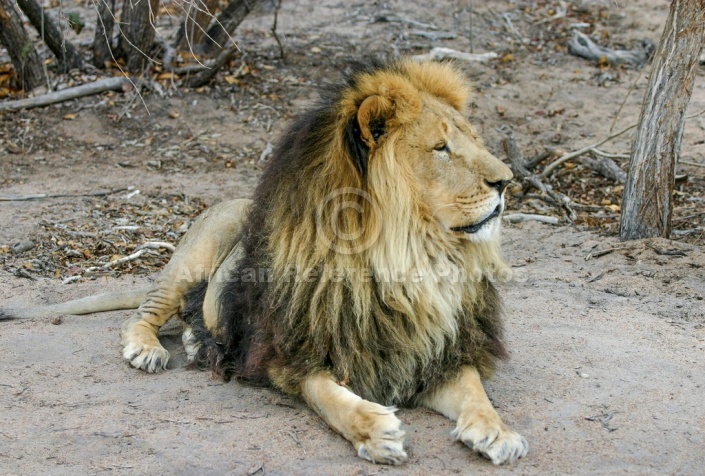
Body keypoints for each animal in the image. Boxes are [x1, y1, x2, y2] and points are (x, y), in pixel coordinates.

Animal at [1, 58, 528, 464]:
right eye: (441, 148)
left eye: (471, 140)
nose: (507, 181)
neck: (409, 259)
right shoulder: (287, 353)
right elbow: (329, 397)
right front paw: (374, 430)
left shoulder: (436, 351)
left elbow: (475, 390)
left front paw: (497, 431)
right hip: (196, 255)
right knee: (144, 312)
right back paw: (149, 348)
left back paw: (195, 339)